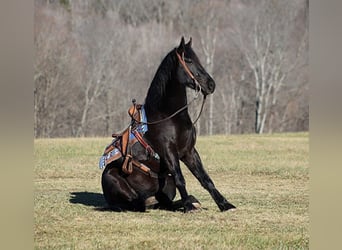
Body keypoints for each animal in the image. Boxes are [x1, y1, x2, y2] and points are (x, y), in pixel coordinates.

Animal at [100, 37, 236, 212]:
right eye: (188, 60)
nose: (211, 84)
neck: (168, 116)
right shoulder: (169, 152)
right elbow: (180, 178)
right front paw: (189, 207)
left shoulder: (189, 152)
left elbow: (205, 178)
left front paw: (224, 204)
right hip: (114, 179)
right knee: (134, 203)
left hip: (167, 184)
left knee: (164, 203)